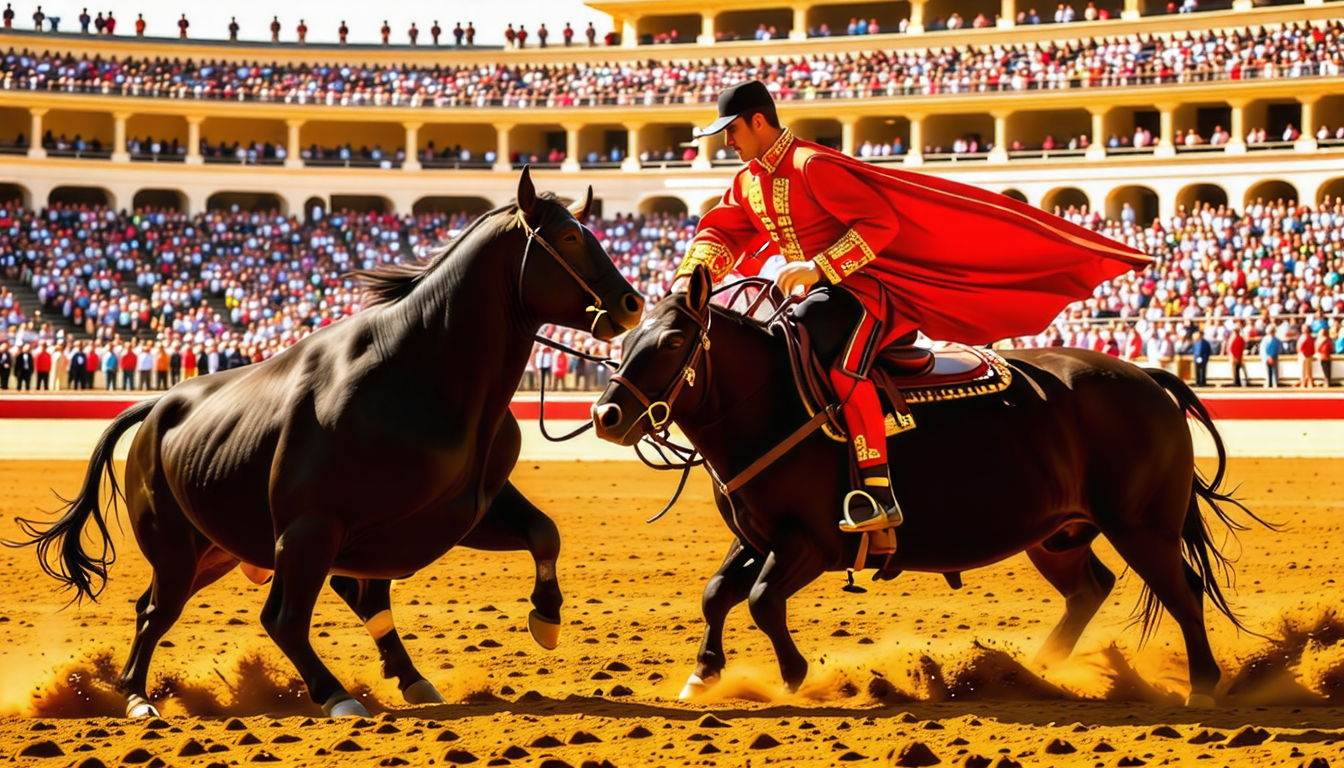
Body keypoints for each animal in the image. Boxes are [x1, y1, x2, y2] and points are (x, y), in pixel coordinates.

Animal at [7, 169, 642, 720]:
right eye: (568, 236)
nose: (632, 303)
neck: (424, 374)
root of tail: (157, 406)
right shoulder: (312, 527)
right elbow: (289, 618)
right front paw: (339, 695)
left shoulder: (463, 509)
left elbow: (543, 532)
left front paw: (546, 619)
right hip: (179, 546)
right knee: (186, 611)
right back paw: (147, 697)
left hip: (215, 550)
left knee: (157, 609)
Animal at [596, 266, 1268, 710]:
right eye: (625, 340)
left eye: (674, 341)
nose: (606, 415)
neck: (776, 400)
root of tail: (1149, 379)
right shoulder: (758, 538)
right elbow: (716, 594)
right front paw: (704, 674)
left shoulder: (808, 544)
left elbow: (760, 601)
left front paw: (793, 674)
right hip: (1059, 535)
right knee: (1091, 588)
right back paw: (1038, 669)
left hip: (1142, 526)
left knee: (1183, 591)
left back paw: (1204, 688)